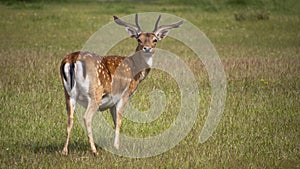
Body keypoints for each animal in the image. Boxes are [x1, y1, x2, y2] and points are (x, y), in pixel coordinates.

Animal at [59, 14, 183, 156]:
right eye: (139, 39)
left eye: (155, 40)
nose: (147, 48)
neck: (136, 72)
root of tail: (72, 60)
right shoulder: (125, 95)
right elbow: (119, 121)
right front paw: (117, 147)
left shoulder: (112, 101)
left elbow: (114, 122)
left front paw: (115, 145)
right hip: (95, 93)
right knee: (86, 117)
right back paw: (94, 151)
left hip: (68, 93)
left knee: (70, 118)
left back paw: (64, 151)